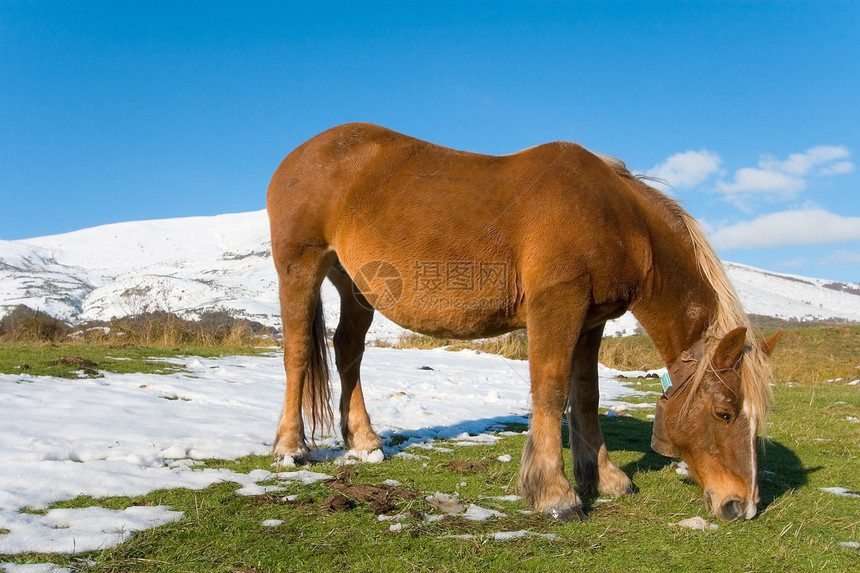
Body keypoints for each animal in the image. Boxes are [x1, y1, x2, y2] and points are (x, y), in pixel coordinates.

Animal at [266, 123, 784, 520]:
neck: (617, 216)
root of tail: (298, 156)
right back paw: (291, 448)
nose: (742, 506)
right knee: (298, 352)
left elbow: (586, 396)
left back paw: (365, 441)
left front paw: (604, 478)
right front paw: (555, 493)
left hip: (355, 286)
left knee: (348, 351)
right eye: (724, 412)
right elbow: (551, 390)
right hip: (300, 268)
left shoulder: (592, 320)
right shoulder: (557, 305)